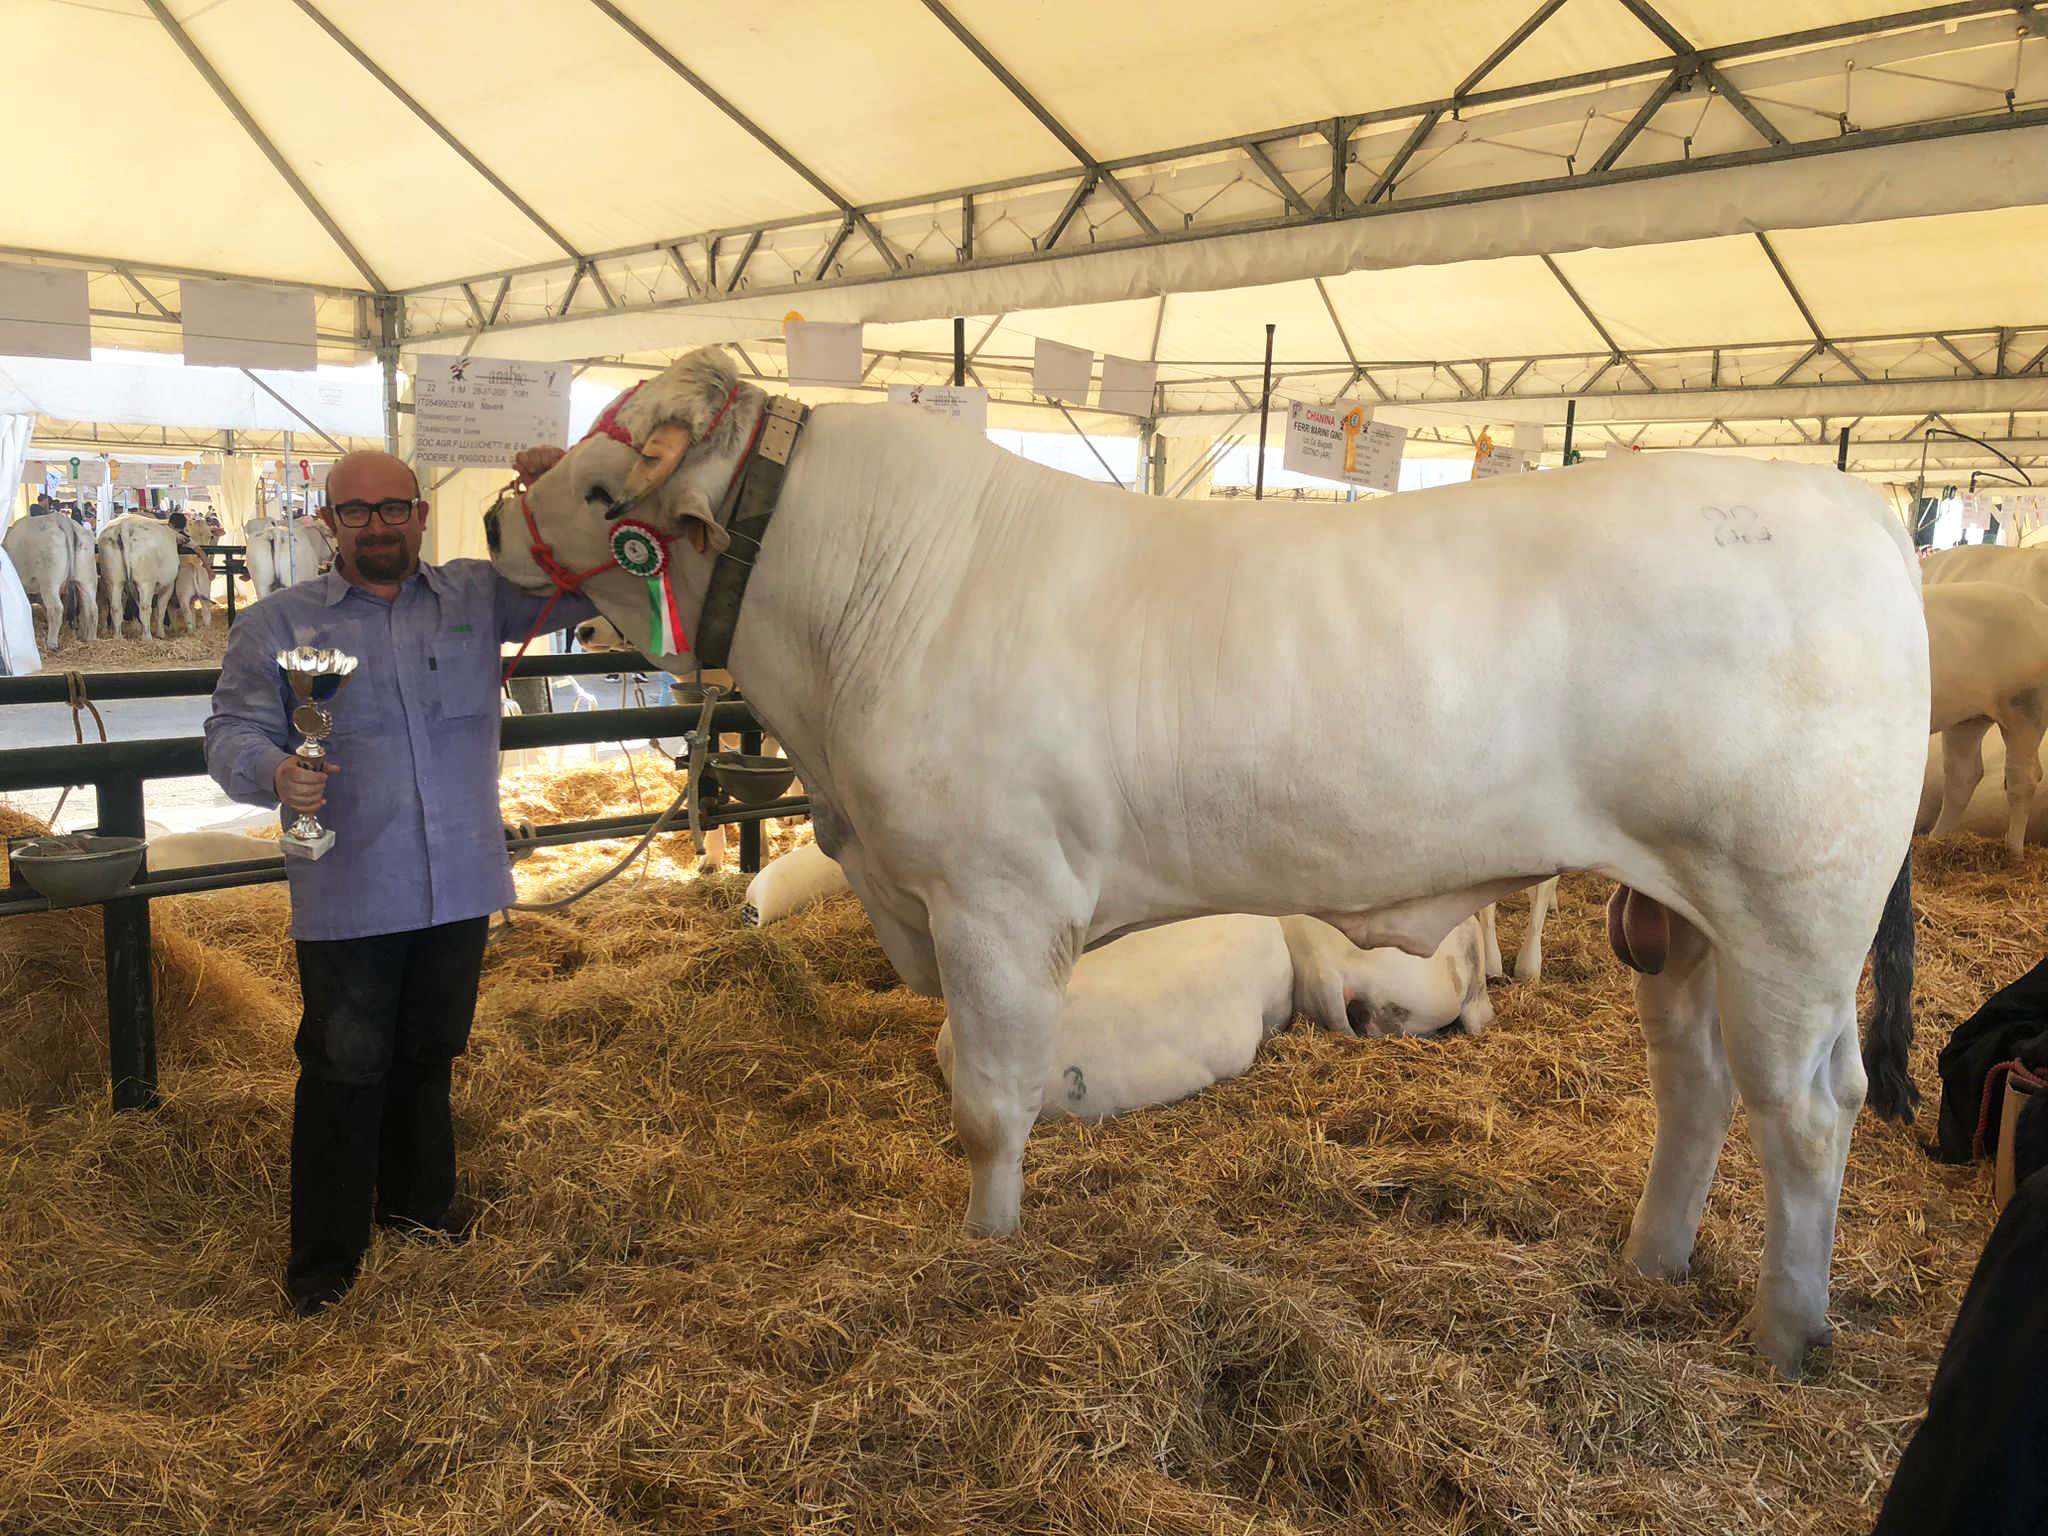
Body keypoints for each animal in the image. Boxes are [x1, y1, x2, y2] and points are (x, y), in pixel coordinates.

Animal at [2, 507, 96, 647]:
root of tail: (60, 519)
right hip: (87, 578)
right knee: (92, 608)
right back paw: (92, 639)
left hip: (49, 582)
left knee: (56, 608)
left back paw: (51, 643)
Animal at [487, 348, 1925, 1384]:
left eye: (610, 466)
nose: (501, 513)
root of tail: (1854, 505)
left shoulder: (995, 898)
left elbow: (989, 1105)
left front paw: (988, 1250)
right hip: (1673, 912)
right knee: (1694, 1088)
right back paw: (1651, 1264)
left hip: (1791, 914)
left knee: (1806, 1111)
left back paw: (1786, 1335)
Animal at [1916, 581, 2048, 860]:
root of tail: (2038, 607)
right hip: (1969, 718)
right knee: (1963, 776)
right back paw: (1936, 841)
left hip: (2025, 706)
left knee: (2023, 778)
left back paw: (2013, 854)